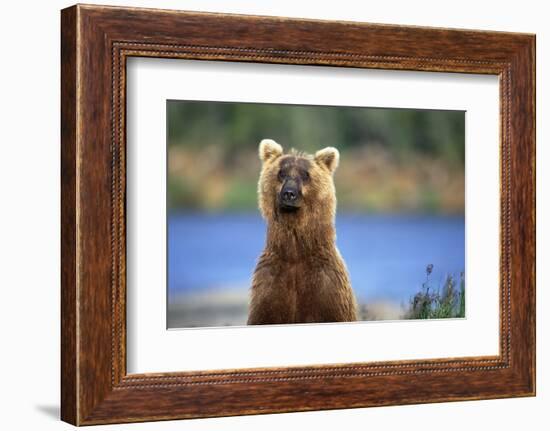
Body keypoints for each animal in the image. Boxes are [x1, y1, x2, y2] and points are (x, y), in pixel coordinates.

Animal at [249, 138, 360, 324]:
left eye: (306, 174)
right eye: (281, 173)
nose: (289, 193)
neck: (295, 254)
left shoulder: (327, 288)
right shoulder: (270, 286)